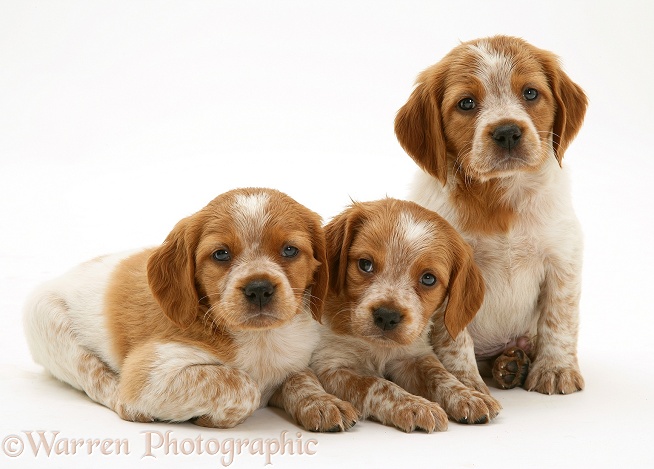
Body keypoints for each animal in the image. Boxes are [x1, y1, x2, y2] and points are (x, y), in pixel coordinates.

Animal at [23, 187, 358, 432]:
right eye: (221, 254)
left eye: (290, 250)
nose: (259, 288)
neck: (261, 340)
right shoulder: (152, 373)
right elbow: (243, 386)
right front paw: (214, 417)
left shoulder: (297, 359)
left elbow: (302, 378)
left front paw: (323, 402)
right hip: (49, 323)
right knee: (97, 380)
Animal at [312, 197, 502, 432]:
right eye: (365, 264)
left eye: (428, 279)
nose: (387, 316)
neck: (380, 348)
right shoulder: (330, 366)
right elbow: (377, 384)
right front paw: (417, 406)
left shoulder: (414, 354)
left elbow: (438, 374)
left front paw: (468, 396)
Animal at [394, 34, 588, 394]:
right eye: (467, 103)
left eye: (530, 93)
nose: (508, 131)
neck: (501, 195)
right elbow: (454, 337)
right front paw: (463, 383)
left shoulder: (563, 257)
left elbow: (559, 318)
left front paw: (555, 368)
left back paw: (513, 362)